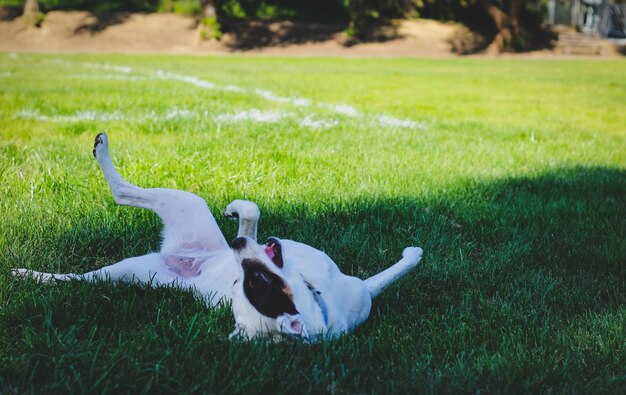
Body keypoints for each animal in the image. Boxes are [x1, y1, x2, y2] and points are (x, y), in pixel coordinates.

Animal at [13, 134, 424, 344]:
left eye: (253, 282)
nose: (238, 249)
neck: (319, 298)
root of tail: (184, 260)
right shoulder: (355, 285)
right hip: (180, 214)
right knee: (121, 196)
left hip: (138, 265)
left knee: (112, 214)